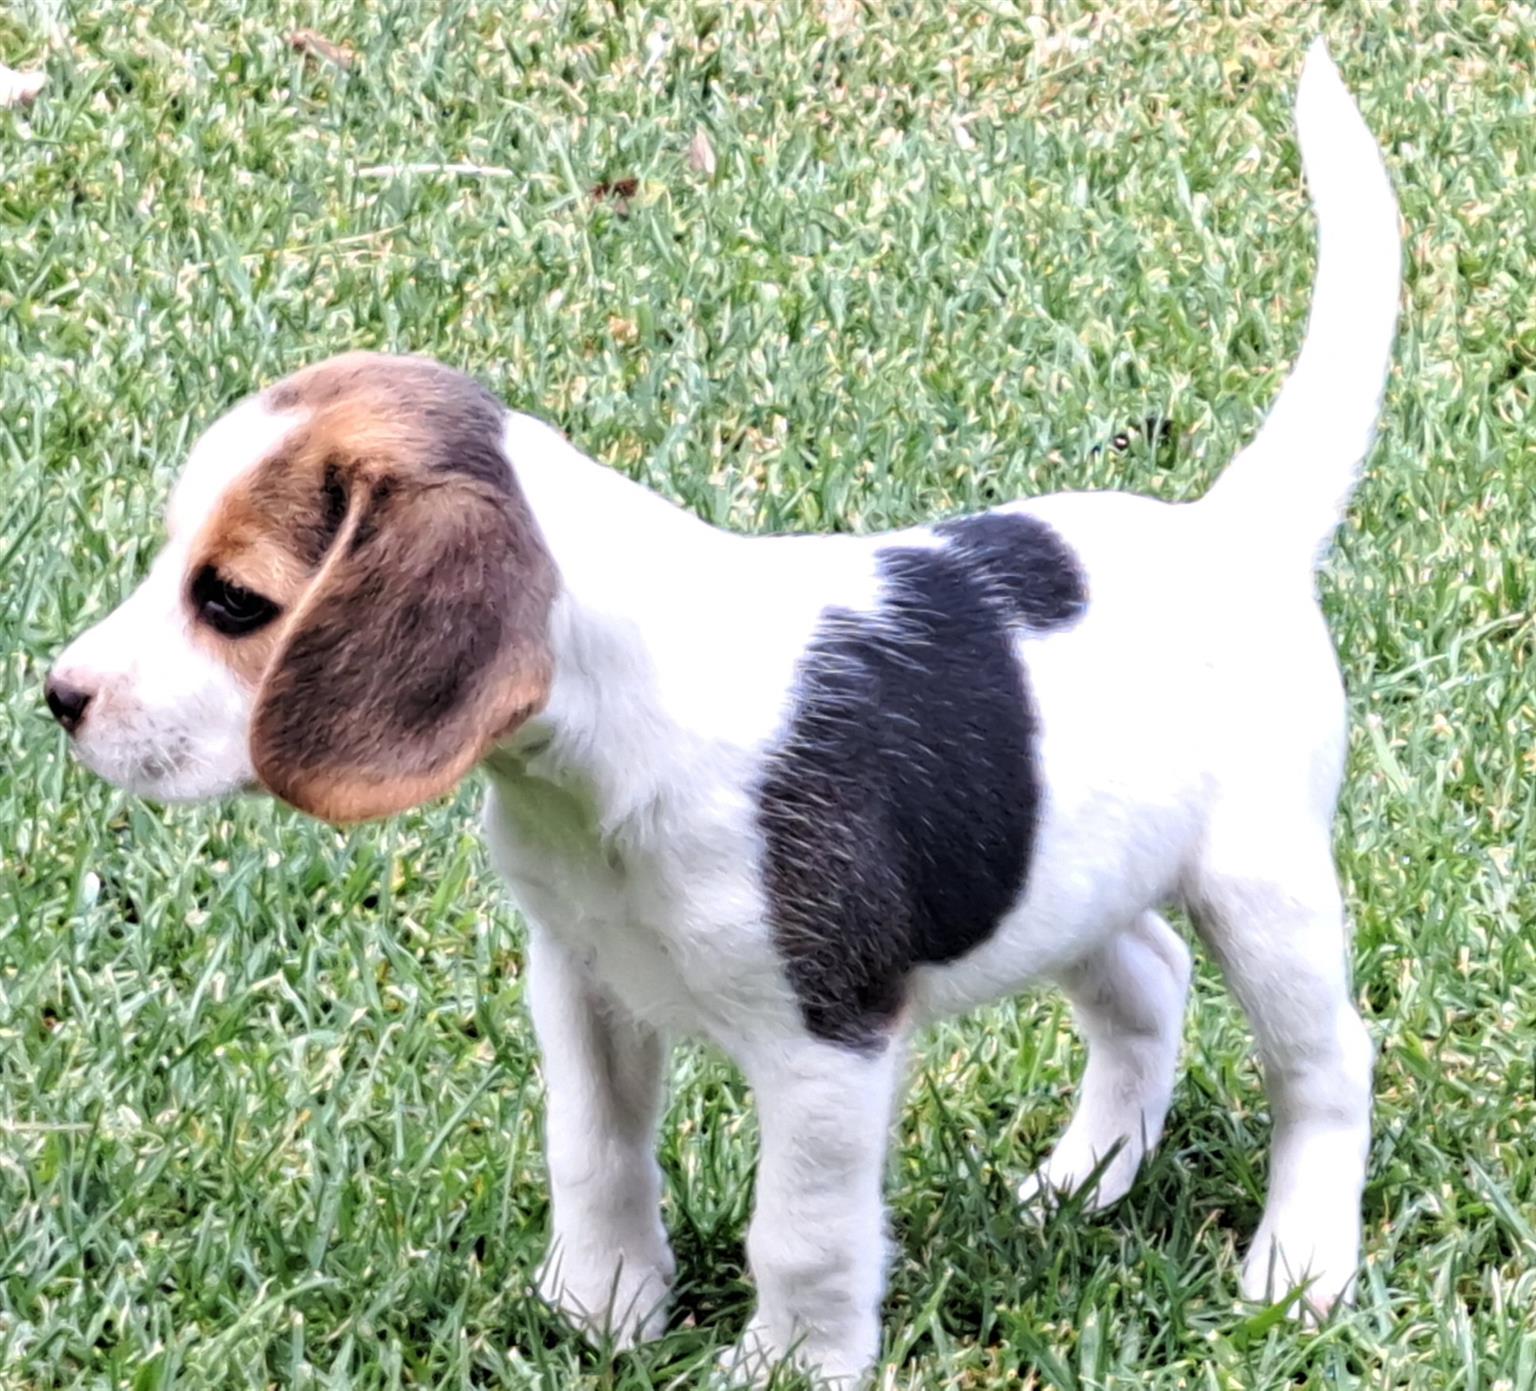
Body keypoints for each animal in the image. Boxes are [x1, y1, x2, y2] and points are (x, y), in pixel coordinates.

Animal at [46, 41, 1399, 1386]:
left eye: (232, 600)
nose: (59, 695)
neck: (597, 756)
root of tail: (1231, 532)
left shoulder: (825, 1041)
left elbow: (802, 1230)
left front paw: (790, 1359)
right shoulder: (580, 980)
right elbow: (595, 1153)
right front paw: (601, 1303)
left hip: (1263, 886)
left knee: (1325, 1063)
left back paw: (1299, 1265)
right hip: (1058, 869)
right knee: (1148, 987)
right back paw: (1082, 1181)